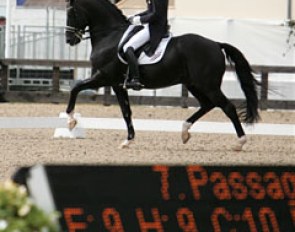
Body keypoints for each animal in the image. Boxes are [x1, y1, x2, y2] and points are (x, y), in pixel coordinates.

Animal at [66, 0, 260, 150]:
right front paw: (128, 141)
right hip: (193, 84)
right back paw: (184, 132)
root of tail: (216, 44)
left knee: (227, 107)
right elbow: (126, 111)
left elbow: (76, 88)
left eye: (71, 12)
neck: (110, 34)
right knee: (207, 104)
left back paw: (240, 142)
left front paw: (70, 121)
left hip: (208, 85)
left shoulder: (105, 77)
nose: (69, 40)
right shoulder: (116, 84)